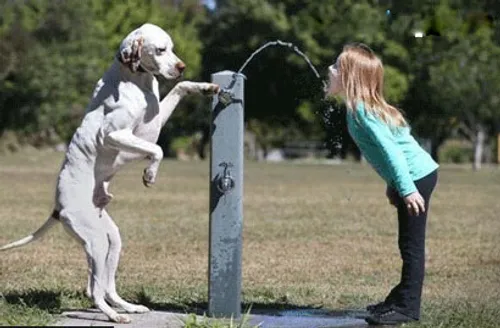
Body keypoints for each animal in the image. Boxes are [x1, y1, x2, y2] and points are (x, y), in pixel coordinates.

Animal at [0, 22, 219, 322]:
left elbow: (179, 88)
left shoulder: (154, 121)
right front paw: (150, 174)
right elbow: (158, 149)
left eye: (172, 48)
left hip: (111, 240)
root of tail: (58, 207)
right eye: (160, 50)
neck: (135, 80)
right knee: (94, 290)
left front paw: (206, 87)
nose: (181, 66)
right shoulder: (116, 134)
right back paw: (114, 316)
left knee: (106, 287)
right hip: (96, 242)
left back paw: (128, 307)